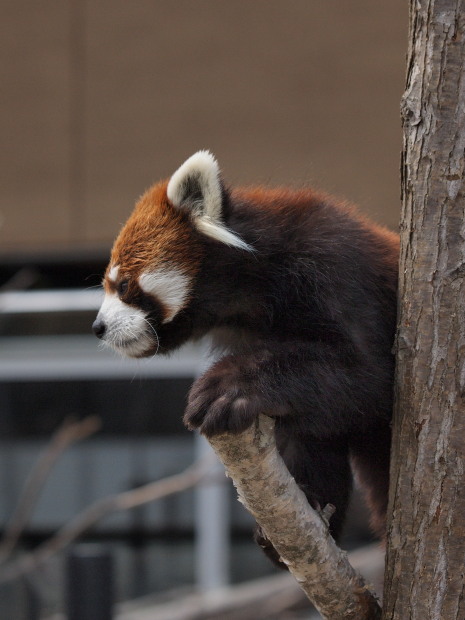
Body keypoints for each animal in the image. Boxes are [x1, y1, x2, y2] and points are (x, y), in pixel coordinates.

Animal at [92, 151, 396, 568]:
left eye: (123, 285)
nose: (98, 327)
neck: (257, 285)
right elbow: (308, 423)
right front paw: (309, 503)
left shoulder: (337, 272)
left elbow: (368, 377)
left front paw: (228, 387)